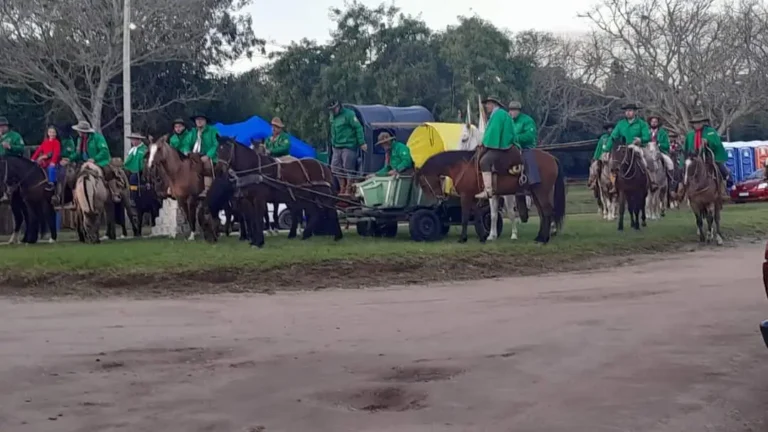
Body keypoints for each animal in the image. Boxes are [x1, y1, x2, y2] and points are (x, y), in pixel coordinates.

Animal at [416, 148, 568, 243]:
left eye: (422, 183)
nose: (436, 199)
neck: (461, 166)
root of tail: (552, 157)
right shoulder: (475, 197)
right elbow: (478, 217)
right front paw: (484, 236)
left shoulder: (466, 196)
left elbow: (465, 217)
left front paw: (463, 238)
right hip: (536, 193)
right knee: (543, 214)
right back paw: (540, 237)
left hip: (542, 191)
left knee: (547, 212)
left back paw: (544, 239)